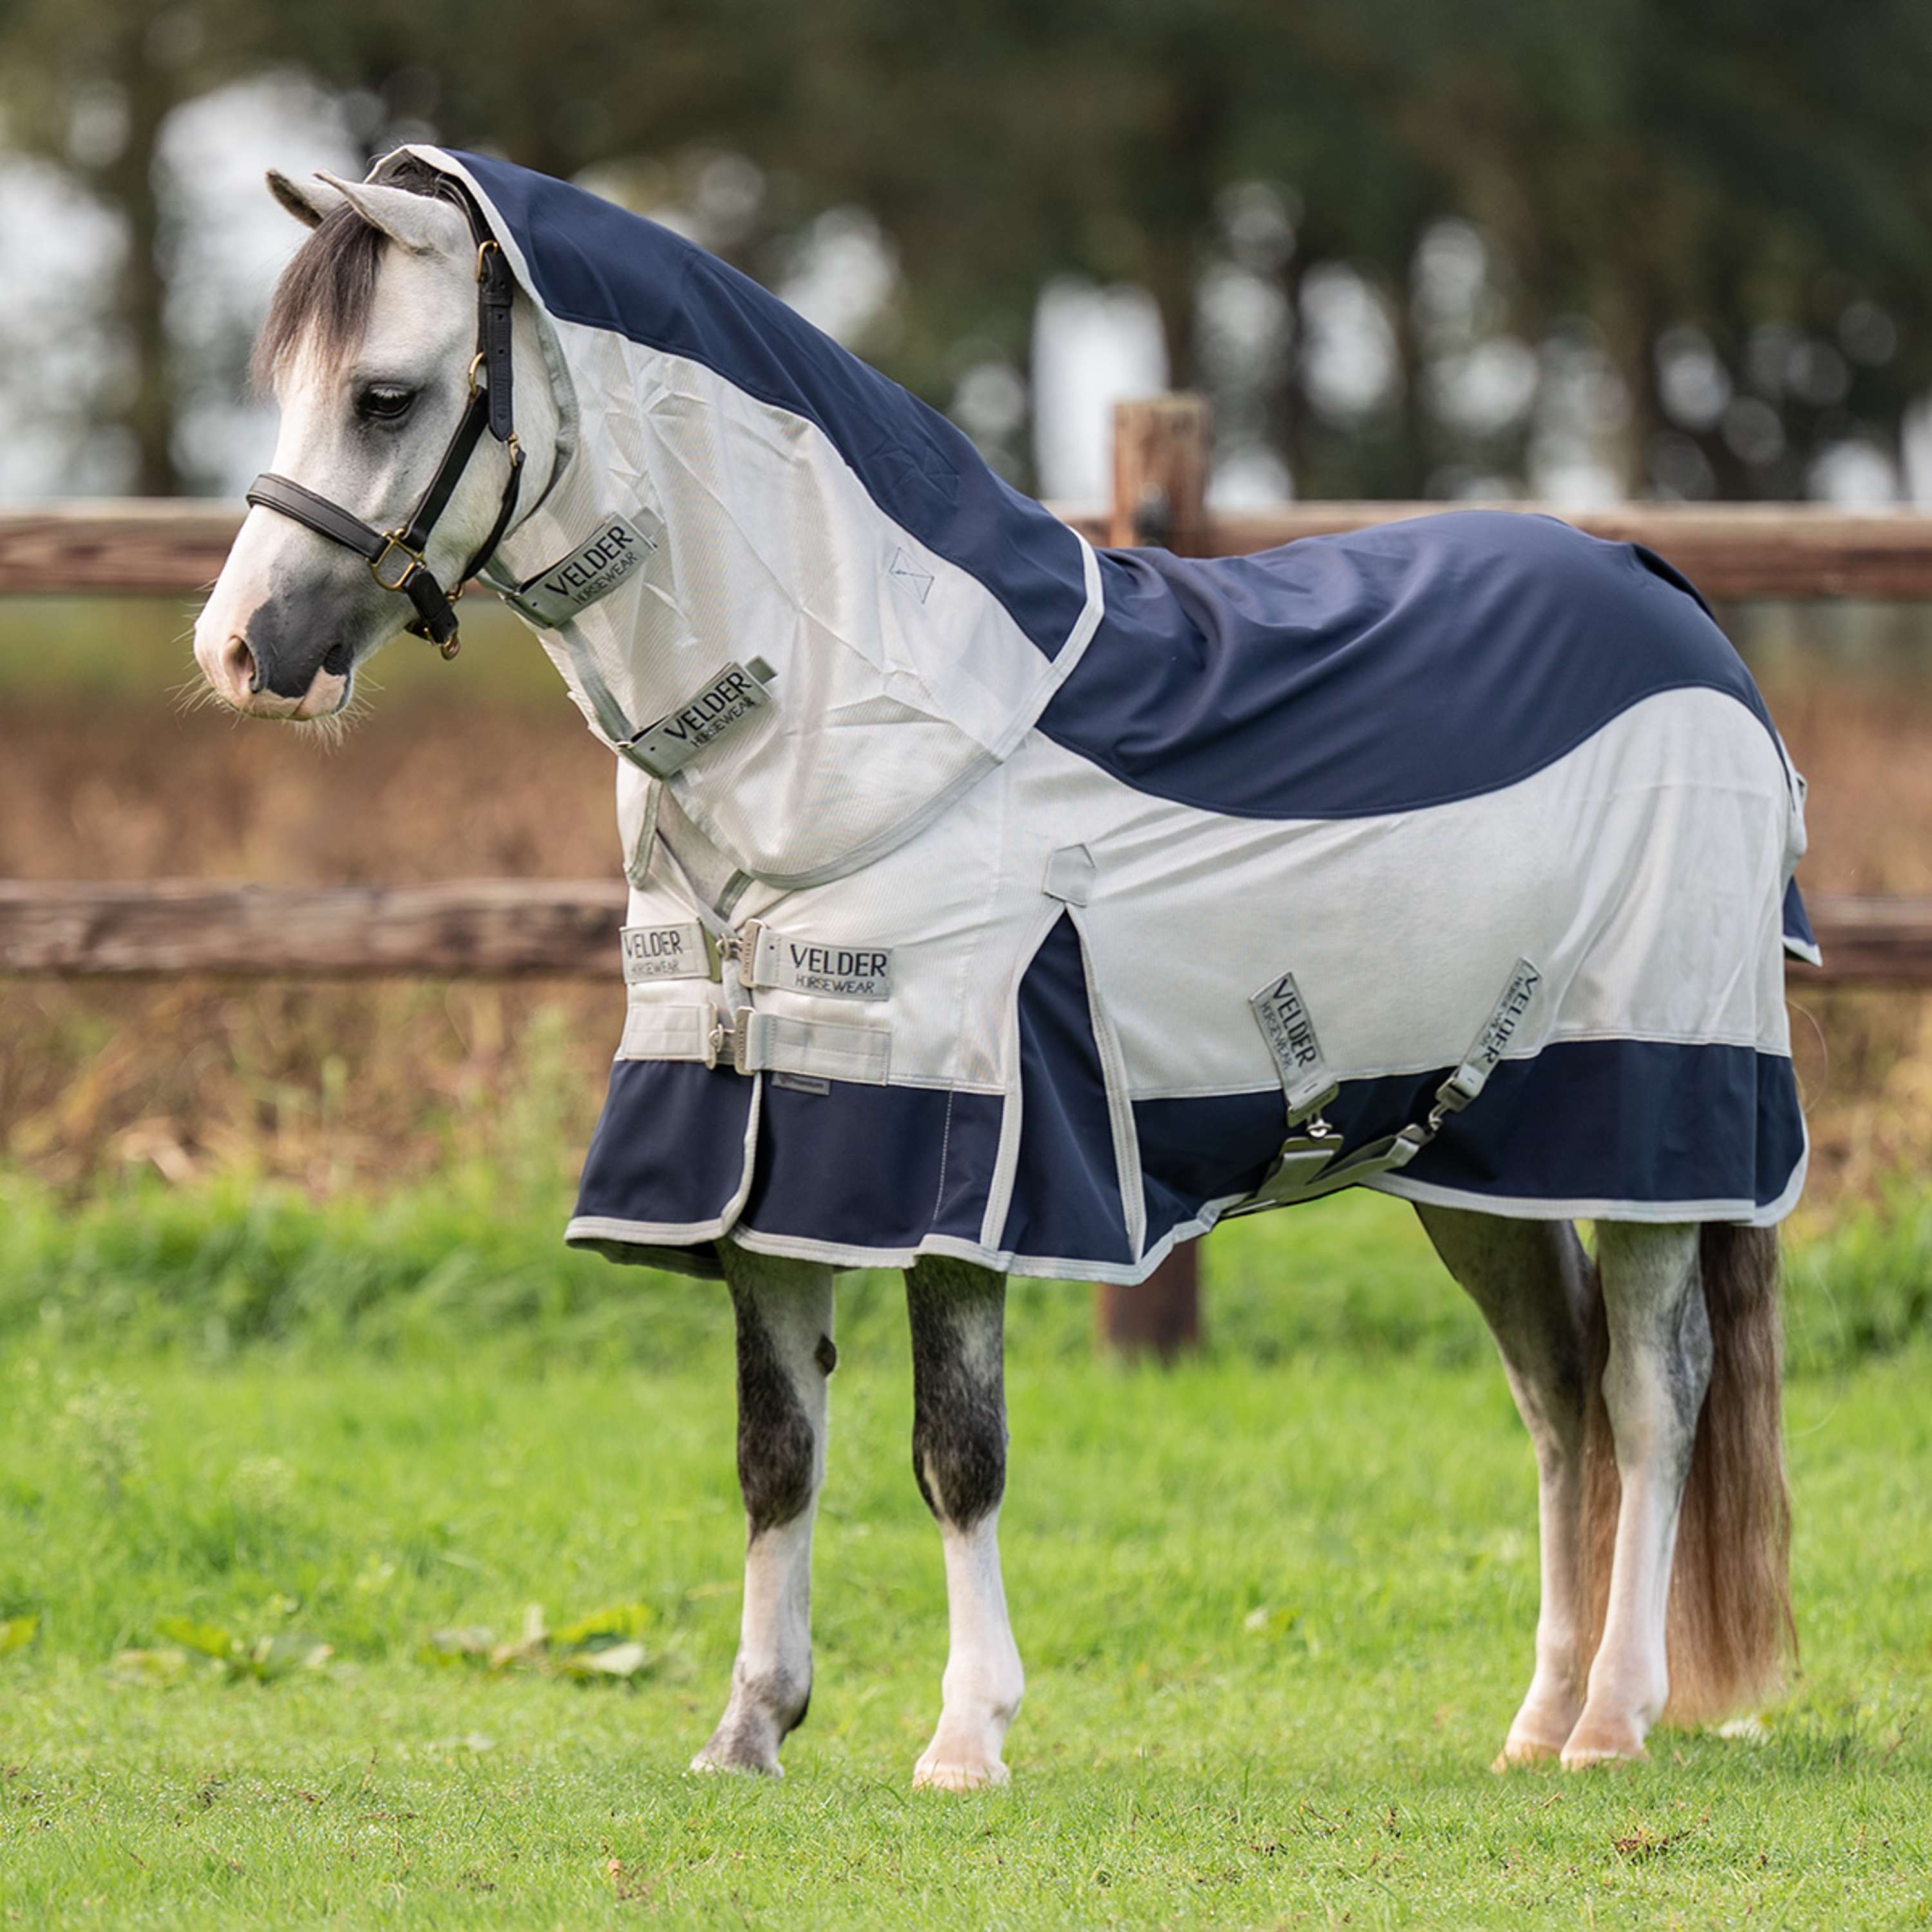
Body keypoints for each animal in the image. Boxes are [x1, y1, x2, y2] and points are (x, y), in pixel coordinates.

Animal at [193, 149, 1806, 1788]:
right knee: (1557, 1398)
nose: (241, 652)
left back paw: (1612, 1719)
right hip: (1470, 1156)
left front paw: (966, 1734)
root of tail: (1672, 604)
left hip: (1646, 1114)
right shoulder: (761, 1155)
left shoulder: (960, 1153)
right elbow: (776, 1452)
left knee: (1650, 1393)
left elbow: (953, 1455)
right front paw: (750, 1727)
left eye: (384, 397)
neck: (861, 722)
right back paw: (1535, 1722)